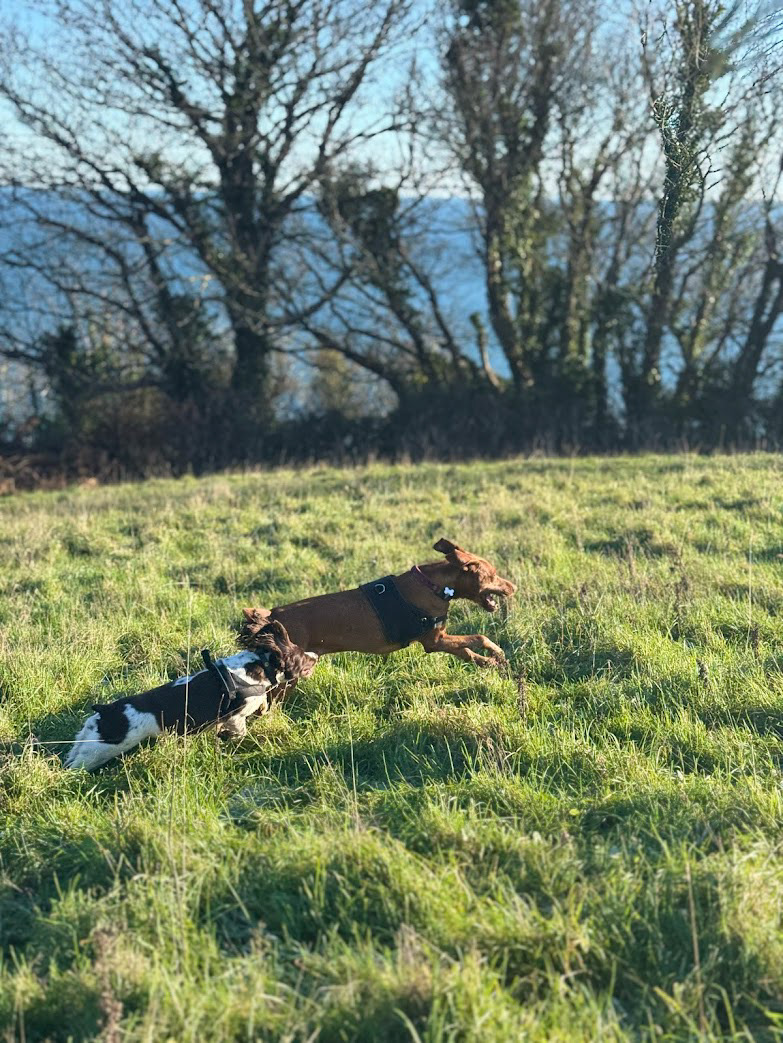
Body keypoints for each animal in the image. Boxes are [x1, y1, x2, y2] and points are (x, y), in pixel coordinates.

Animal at [64, 620, 316, 770]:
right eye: (302, 656)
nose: (315, 656)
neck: (258, 665)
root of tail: (106, 711)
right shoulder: (235, 716)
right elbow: (240, 729)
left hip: (86, 740)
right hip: (102, 748)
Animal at [243, 538, 515, 668]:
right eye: (493, 575)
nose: (514, 587)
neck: (435, 586)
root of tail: (272, 615)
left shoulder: (439, 640)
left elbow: (468, 652)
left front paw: (491, 663)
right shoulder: (434, 641)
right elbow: (479, 638)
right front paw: (497, 652)